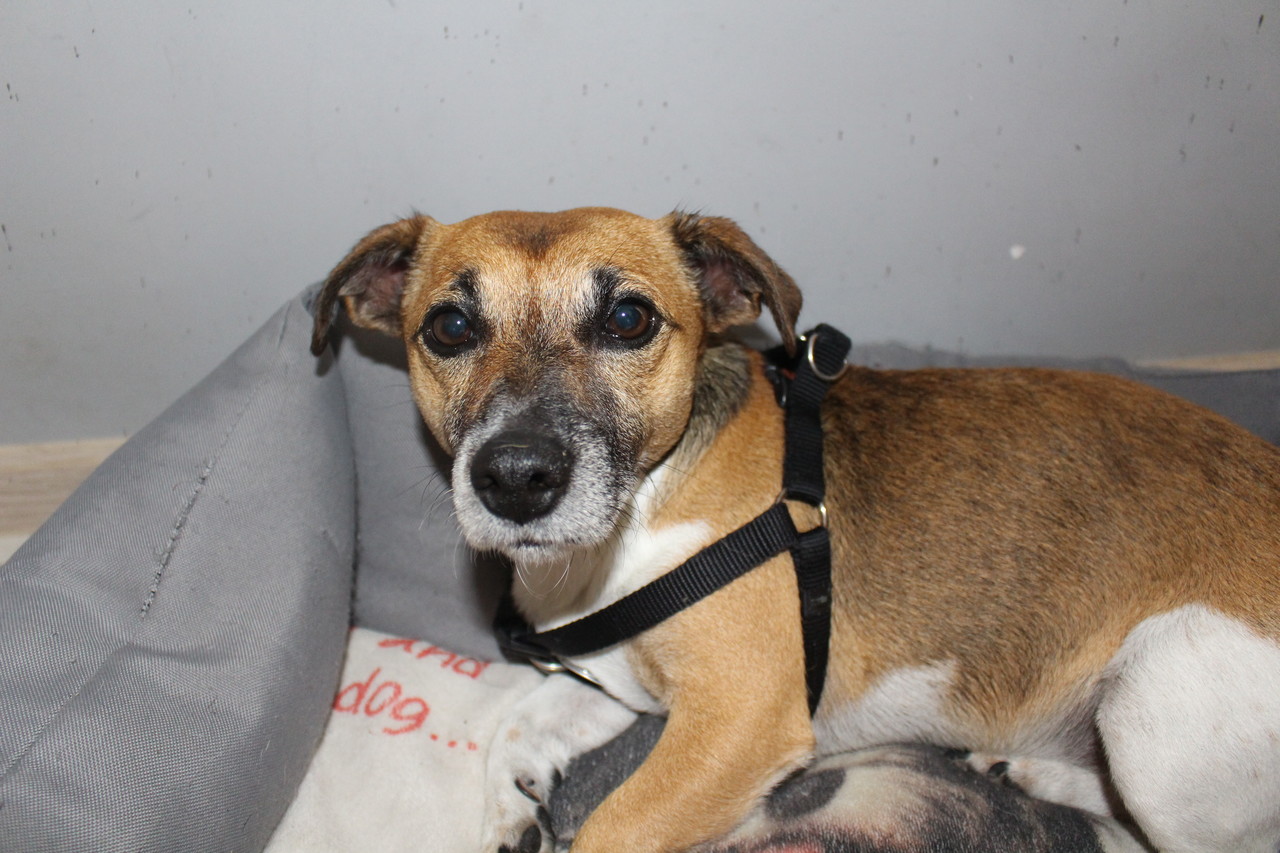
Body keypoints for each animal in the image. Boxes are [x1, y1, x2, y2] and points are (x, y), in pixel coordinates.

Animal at [311, 207, 1280, 853]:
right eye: (449, 325)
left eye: (627, 317)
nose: (515, 477)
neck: (639, 515)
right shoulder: (623, 683)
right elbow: (517, 719)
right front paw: (513, 807)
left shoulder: (739, 719)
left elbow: (612, 824)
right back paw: (1033, 770)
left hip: (1158, 701)